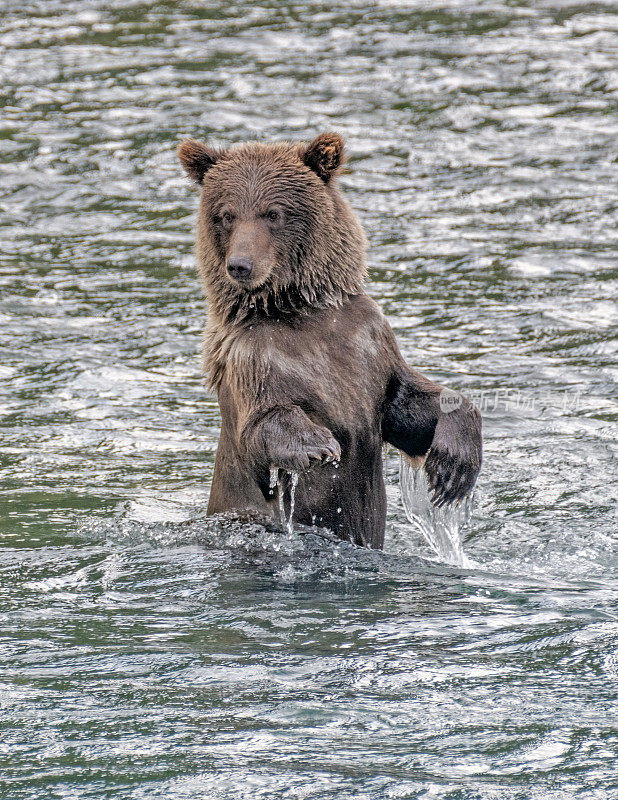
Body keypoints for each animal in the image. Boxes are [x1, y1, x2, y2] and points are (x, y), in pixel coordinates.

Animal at [178, 133, 482, 552]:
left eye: (273, 213)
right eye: (226, 214)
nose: (240, 265)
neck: (299, 311)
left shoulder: (368, 343)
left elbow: (407, 404)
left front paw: (454, 466)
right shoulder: (252, 358)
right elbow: (260, 422)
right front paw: (317, 444)